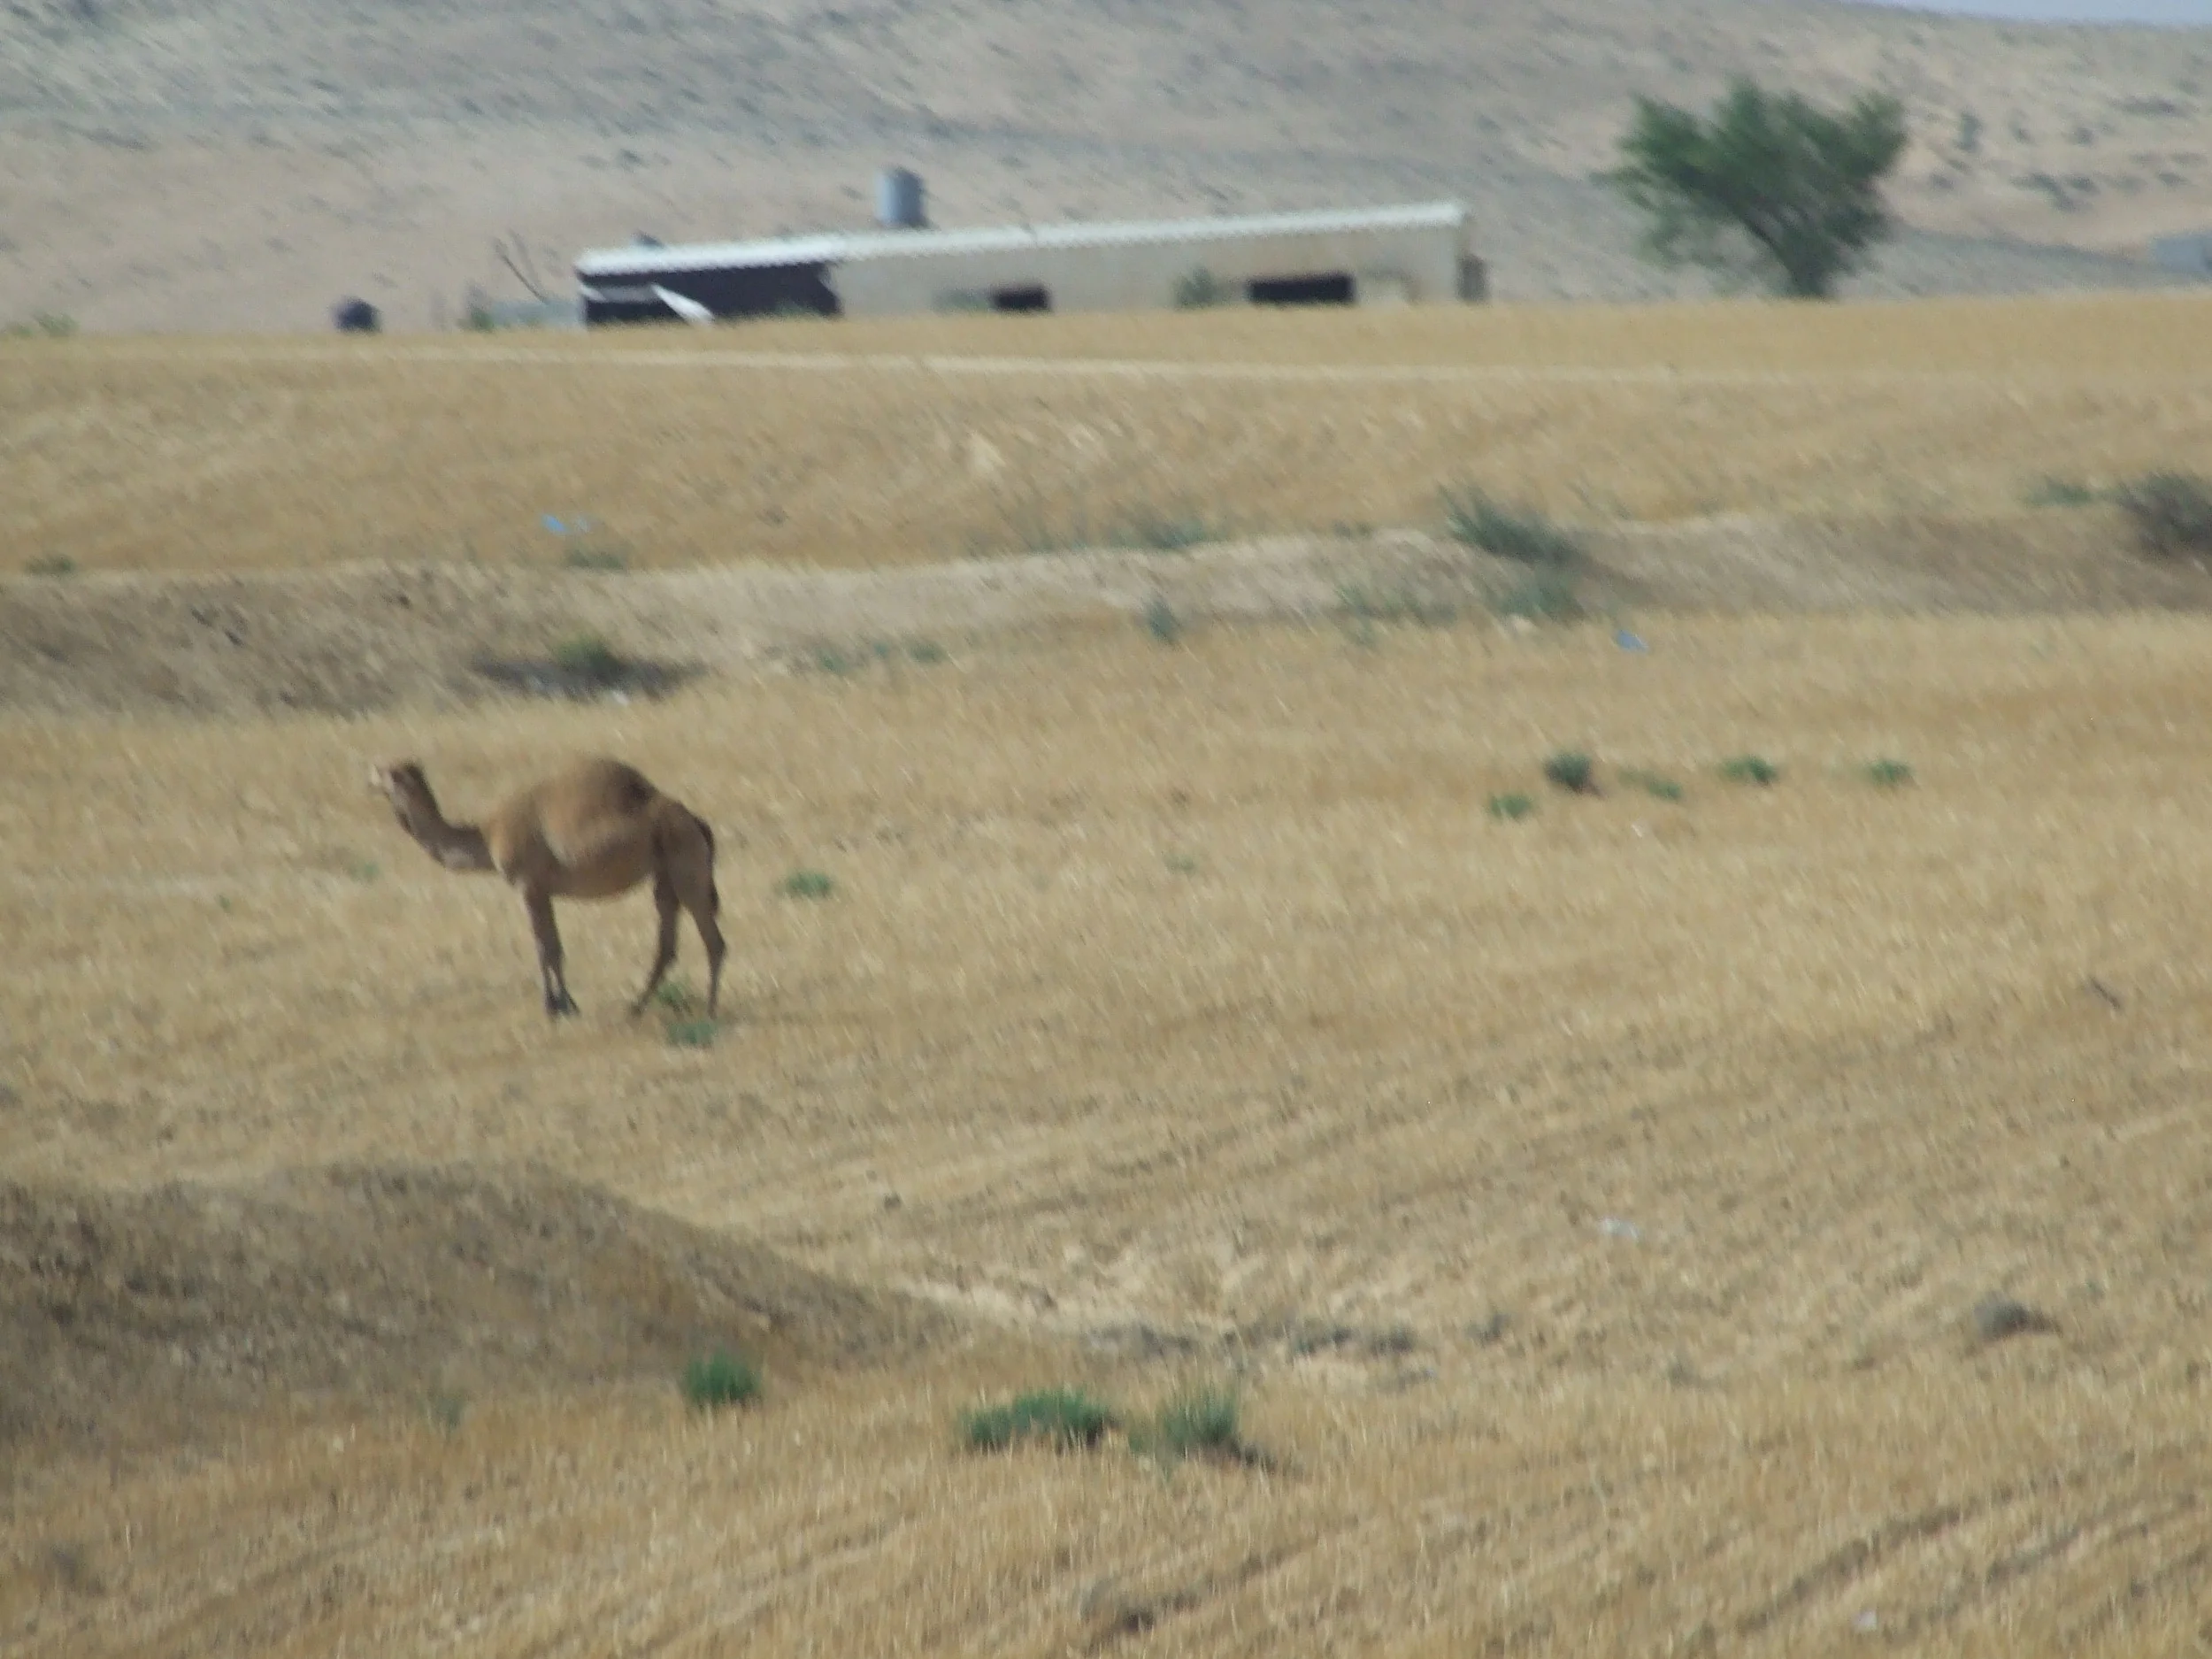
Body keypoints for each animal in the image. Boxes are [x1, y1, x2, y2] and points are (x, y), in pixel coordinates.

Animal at [368, 756, 725, 1021]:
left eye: (387, 773)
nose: (368, 776)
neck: (487, 836)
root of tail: (696, 821)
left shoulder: (528, 885)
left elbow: (543, 947)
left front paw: (552, 1008)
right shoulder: (544, 890)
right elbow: (555, 946)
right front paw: (569, 1005)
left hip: (685, 866)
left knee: (713, 940)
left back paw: (709, 1011)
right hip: (664, 875)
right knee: (667, 942)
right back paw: (635, 1008)